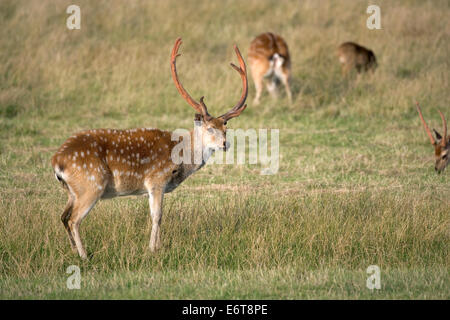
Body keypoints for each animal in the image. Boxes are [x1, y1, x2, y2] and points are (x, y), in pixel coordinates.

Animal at [52, 37, 250, 258]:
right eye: (209, 128)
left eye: (225, 127)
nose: (225, 144)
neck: (180, 156)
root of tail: (57, 162)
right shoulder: (156, 180)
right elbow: (157, 215)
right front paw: (153, 249)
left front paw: (156, 247)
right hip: (91, 184)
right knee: (73, 219)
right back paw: (84, 256)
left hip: (72, 191)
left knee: (63, 216)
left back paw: (73, 251)